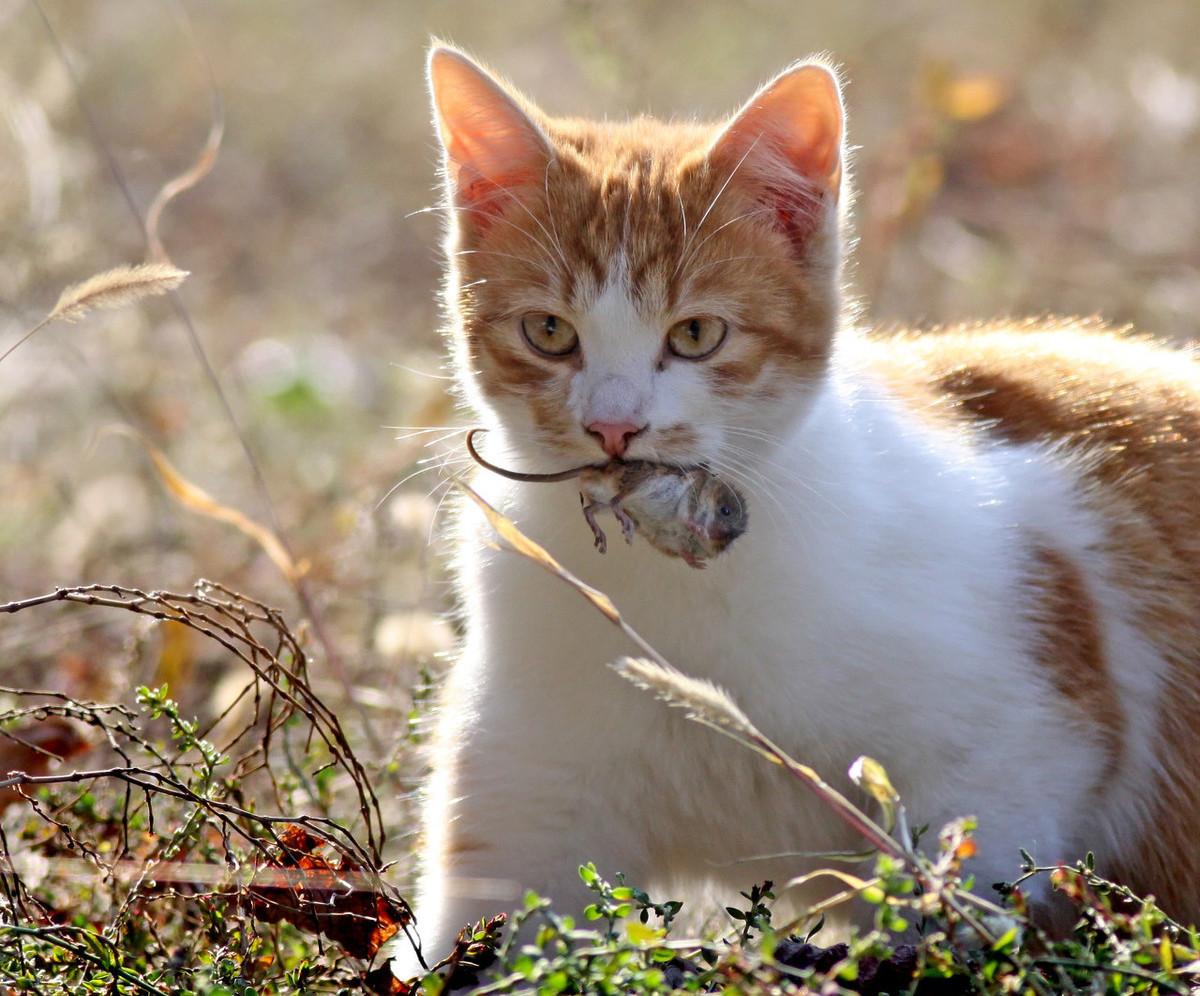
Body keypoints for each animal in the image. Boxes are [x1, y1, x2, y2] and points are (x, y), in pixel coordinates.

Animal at [388, 42, 1195, 979]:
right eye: (549, 331)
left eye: (697, 334)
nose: (614, 426)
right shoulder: (528, 787)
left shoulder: (1017, 747)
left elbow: (960, 906)